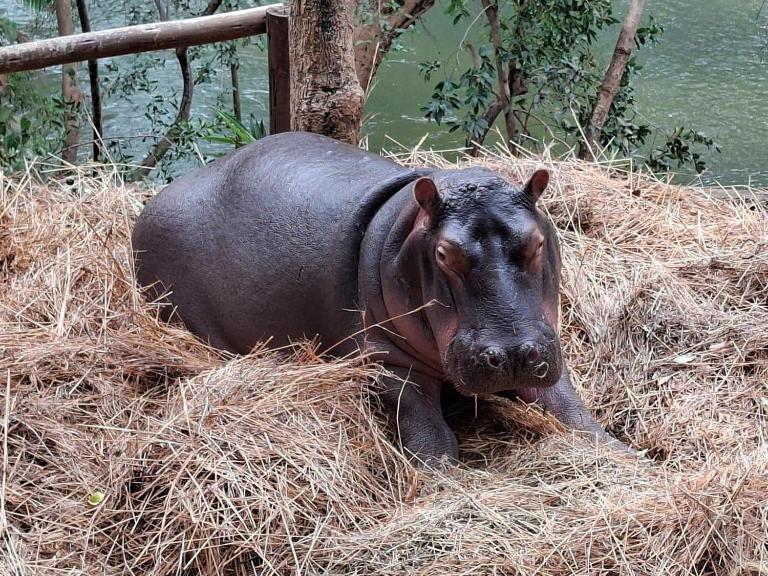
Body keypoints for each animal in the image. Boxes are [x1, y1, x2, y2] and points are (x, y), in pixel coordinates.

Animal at [132, 131, 626, 463]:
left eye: (537, 242)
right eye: (443, 253)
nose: (511, 354)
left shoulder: (546, 343)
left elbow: (569, 405)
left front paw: (620, 450)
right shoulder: (384, 359)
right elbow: (424, 422)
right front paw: (440, 469)